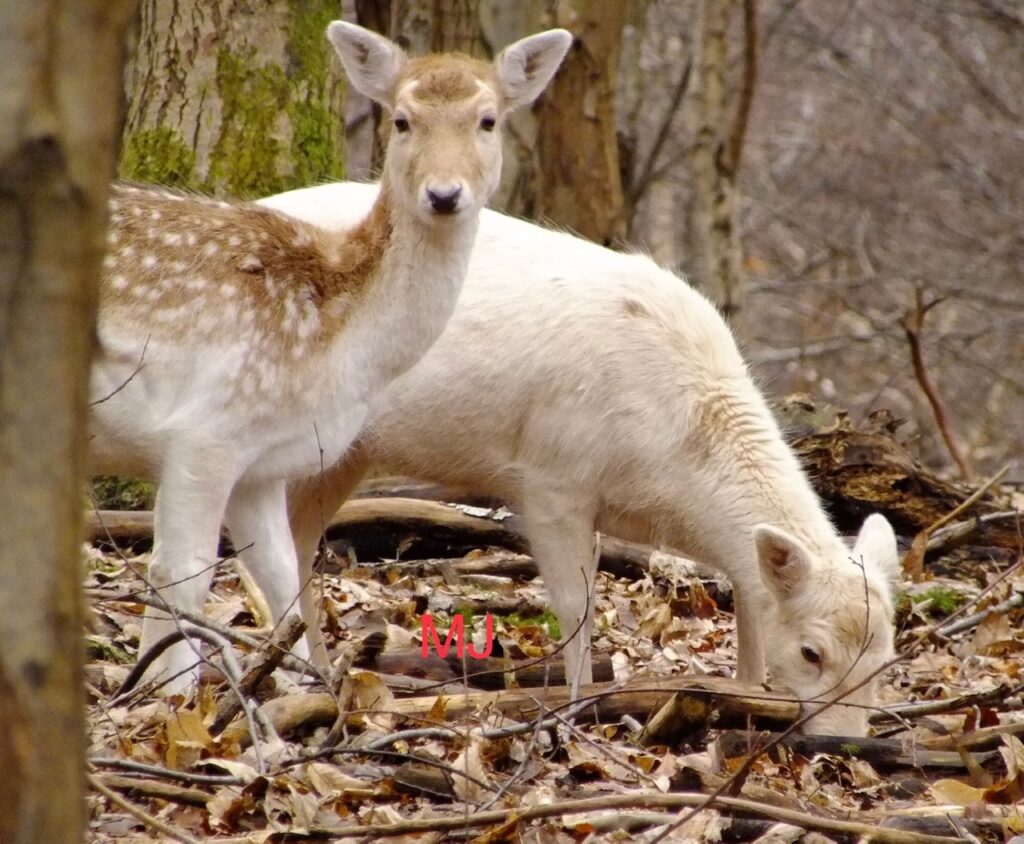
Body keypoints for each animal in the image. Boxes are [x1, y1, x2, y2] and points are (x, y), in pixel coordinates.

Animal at [89, 24, 571, 695]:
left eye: (488, 120)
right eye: (401, 119)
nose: (444, 194)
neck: (340, 343)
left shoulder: (262, 463)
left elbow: (279, 575)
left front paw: (299, 692)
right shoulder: (206, 431)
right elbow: (181, 573)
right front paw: (165, 701)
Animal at [254, 181, 902, 736]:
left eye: (886, 659)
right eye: (812, 652)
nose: (847, 742)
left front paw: (743, 694)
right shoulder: (552, 478)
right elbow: (576, 606)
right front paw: (576, 712)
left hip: (345, 455)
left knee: (300, 541)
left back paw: (315, 673)